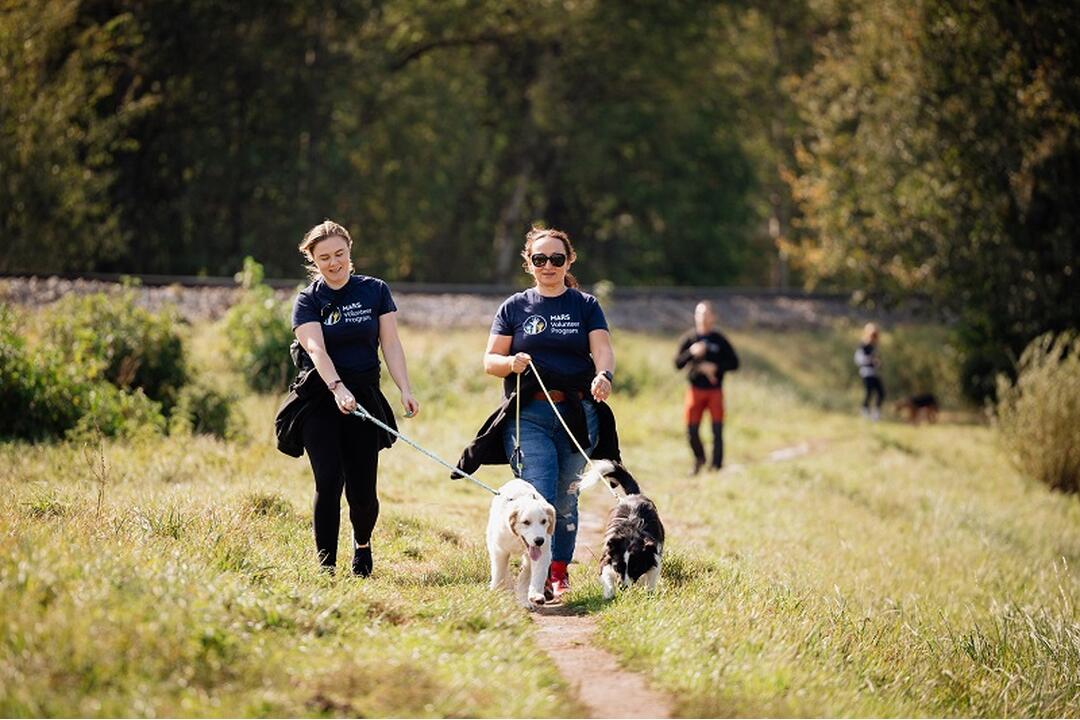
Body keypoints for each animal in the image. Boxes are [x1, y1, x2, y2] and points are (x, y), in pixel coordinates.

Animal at [490, 479, 557, 608]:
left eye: (544, 521)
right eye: (526, 522)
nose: (539, 540)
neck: (518, 539)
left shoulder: (543, 552)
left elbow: (537, 574)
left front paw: (536, 595)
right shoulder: (499, 550)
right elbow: (499, 571)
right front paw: (496, 590)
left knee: (526, 572)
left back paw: (525, 600)